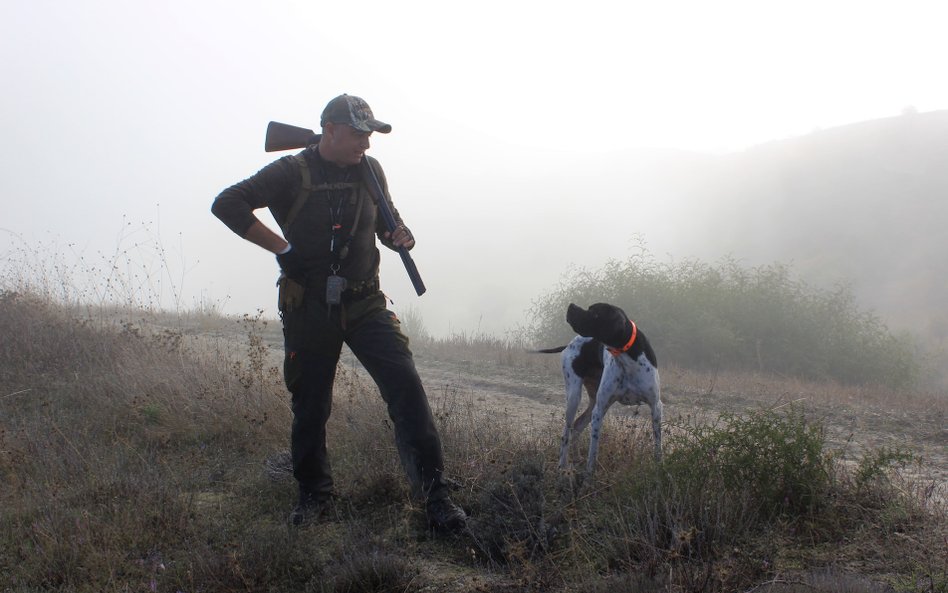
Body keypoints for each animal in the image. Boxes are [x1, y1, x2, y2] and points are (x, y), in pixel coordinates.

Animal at [536, 300, 664, 472]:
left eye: (594, 312)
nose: (571, 305)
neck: (627, 357)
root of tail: (569, 343)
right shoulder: (599, 410)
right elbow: (593, 452)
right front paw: (589, 474)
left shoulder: (656, 407)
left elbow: (658, 446)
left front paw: (659, 468)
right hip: (575, 397)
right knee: (566, 432)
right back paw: (562, 465)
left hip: (593, 401)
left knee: (577, 426)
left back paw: (576, 459)